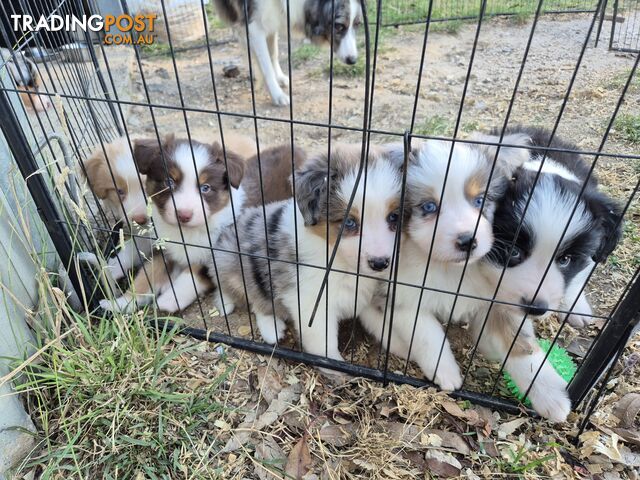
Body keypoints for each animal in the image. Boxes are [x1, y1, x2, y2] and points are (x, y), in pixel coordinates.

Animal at [100, 134, 248, 316]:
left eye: (205, 188)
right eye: (169, 182)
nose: (184, 215)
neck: (184, 233)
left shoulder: (213, 255)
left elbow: (190, 277)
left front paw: (168, 301)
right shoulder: (162, 249)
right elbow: (145, 277)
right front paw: (120, 303)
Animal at [212, 146, 402, 364]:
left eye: (394, 217)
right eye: (349, 222)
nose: (380, 263)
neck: (341, 263)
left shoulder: (363, 298)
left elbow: (384, 327)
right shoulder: (310, 302)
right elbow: (324, 345)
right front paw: (334, 366)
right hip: (236, 266)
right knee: (252, 298)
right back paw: (269, 328)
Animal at [215, 0, 362, 105]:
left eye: (357, 24)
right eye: (339, 26)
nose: (353, 60)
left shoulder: (271, 21)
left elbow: (273, 54)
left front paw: (279, 78)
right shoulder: (253, 27)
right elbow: (266, 67)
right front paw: (277, 95)